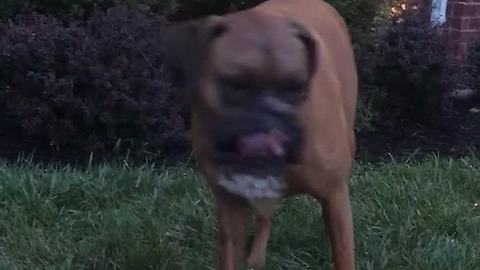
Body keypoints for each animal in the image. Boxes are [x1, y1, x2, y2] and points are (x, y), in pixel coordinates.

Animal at [164, 0, 356, 270]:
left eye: (297, 88)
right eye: (235, 85)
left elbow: (343, 252)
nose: (270, 117)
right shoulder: (230, 207)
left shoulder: (334, 193)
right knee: (265, 215)